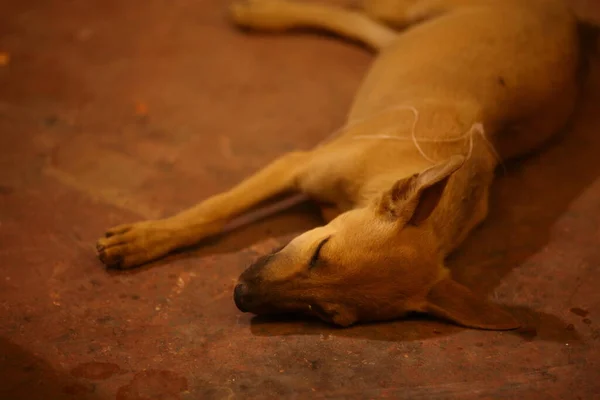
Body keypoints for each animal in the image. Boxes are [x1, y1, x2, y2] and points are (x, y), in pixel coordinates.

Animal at [95, 0, 580, 330]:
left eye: (326, 313)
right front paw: (144, 240)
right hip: (406, 7)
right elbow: (214, 210)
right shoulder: (293, 165)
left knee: (370, 29)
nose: (240, 295)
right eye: (318, 253)